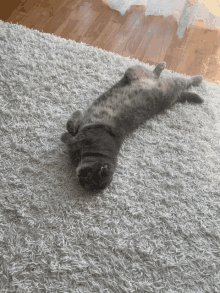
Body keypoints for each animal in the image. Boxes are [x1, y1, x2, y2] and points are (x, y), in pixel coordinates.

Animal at [60, 61, 203, 193]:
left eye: (87, 179)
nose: (79, 175)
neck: (97, 151)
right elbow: (74, 123)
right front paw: (76, 116)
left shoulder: (80, 138)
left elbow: (70, 138)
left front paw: (64, 135)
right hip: (146, 76)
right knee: (176, 79)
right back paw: (190, 76)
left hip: (159, 84)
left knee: (179, 80)